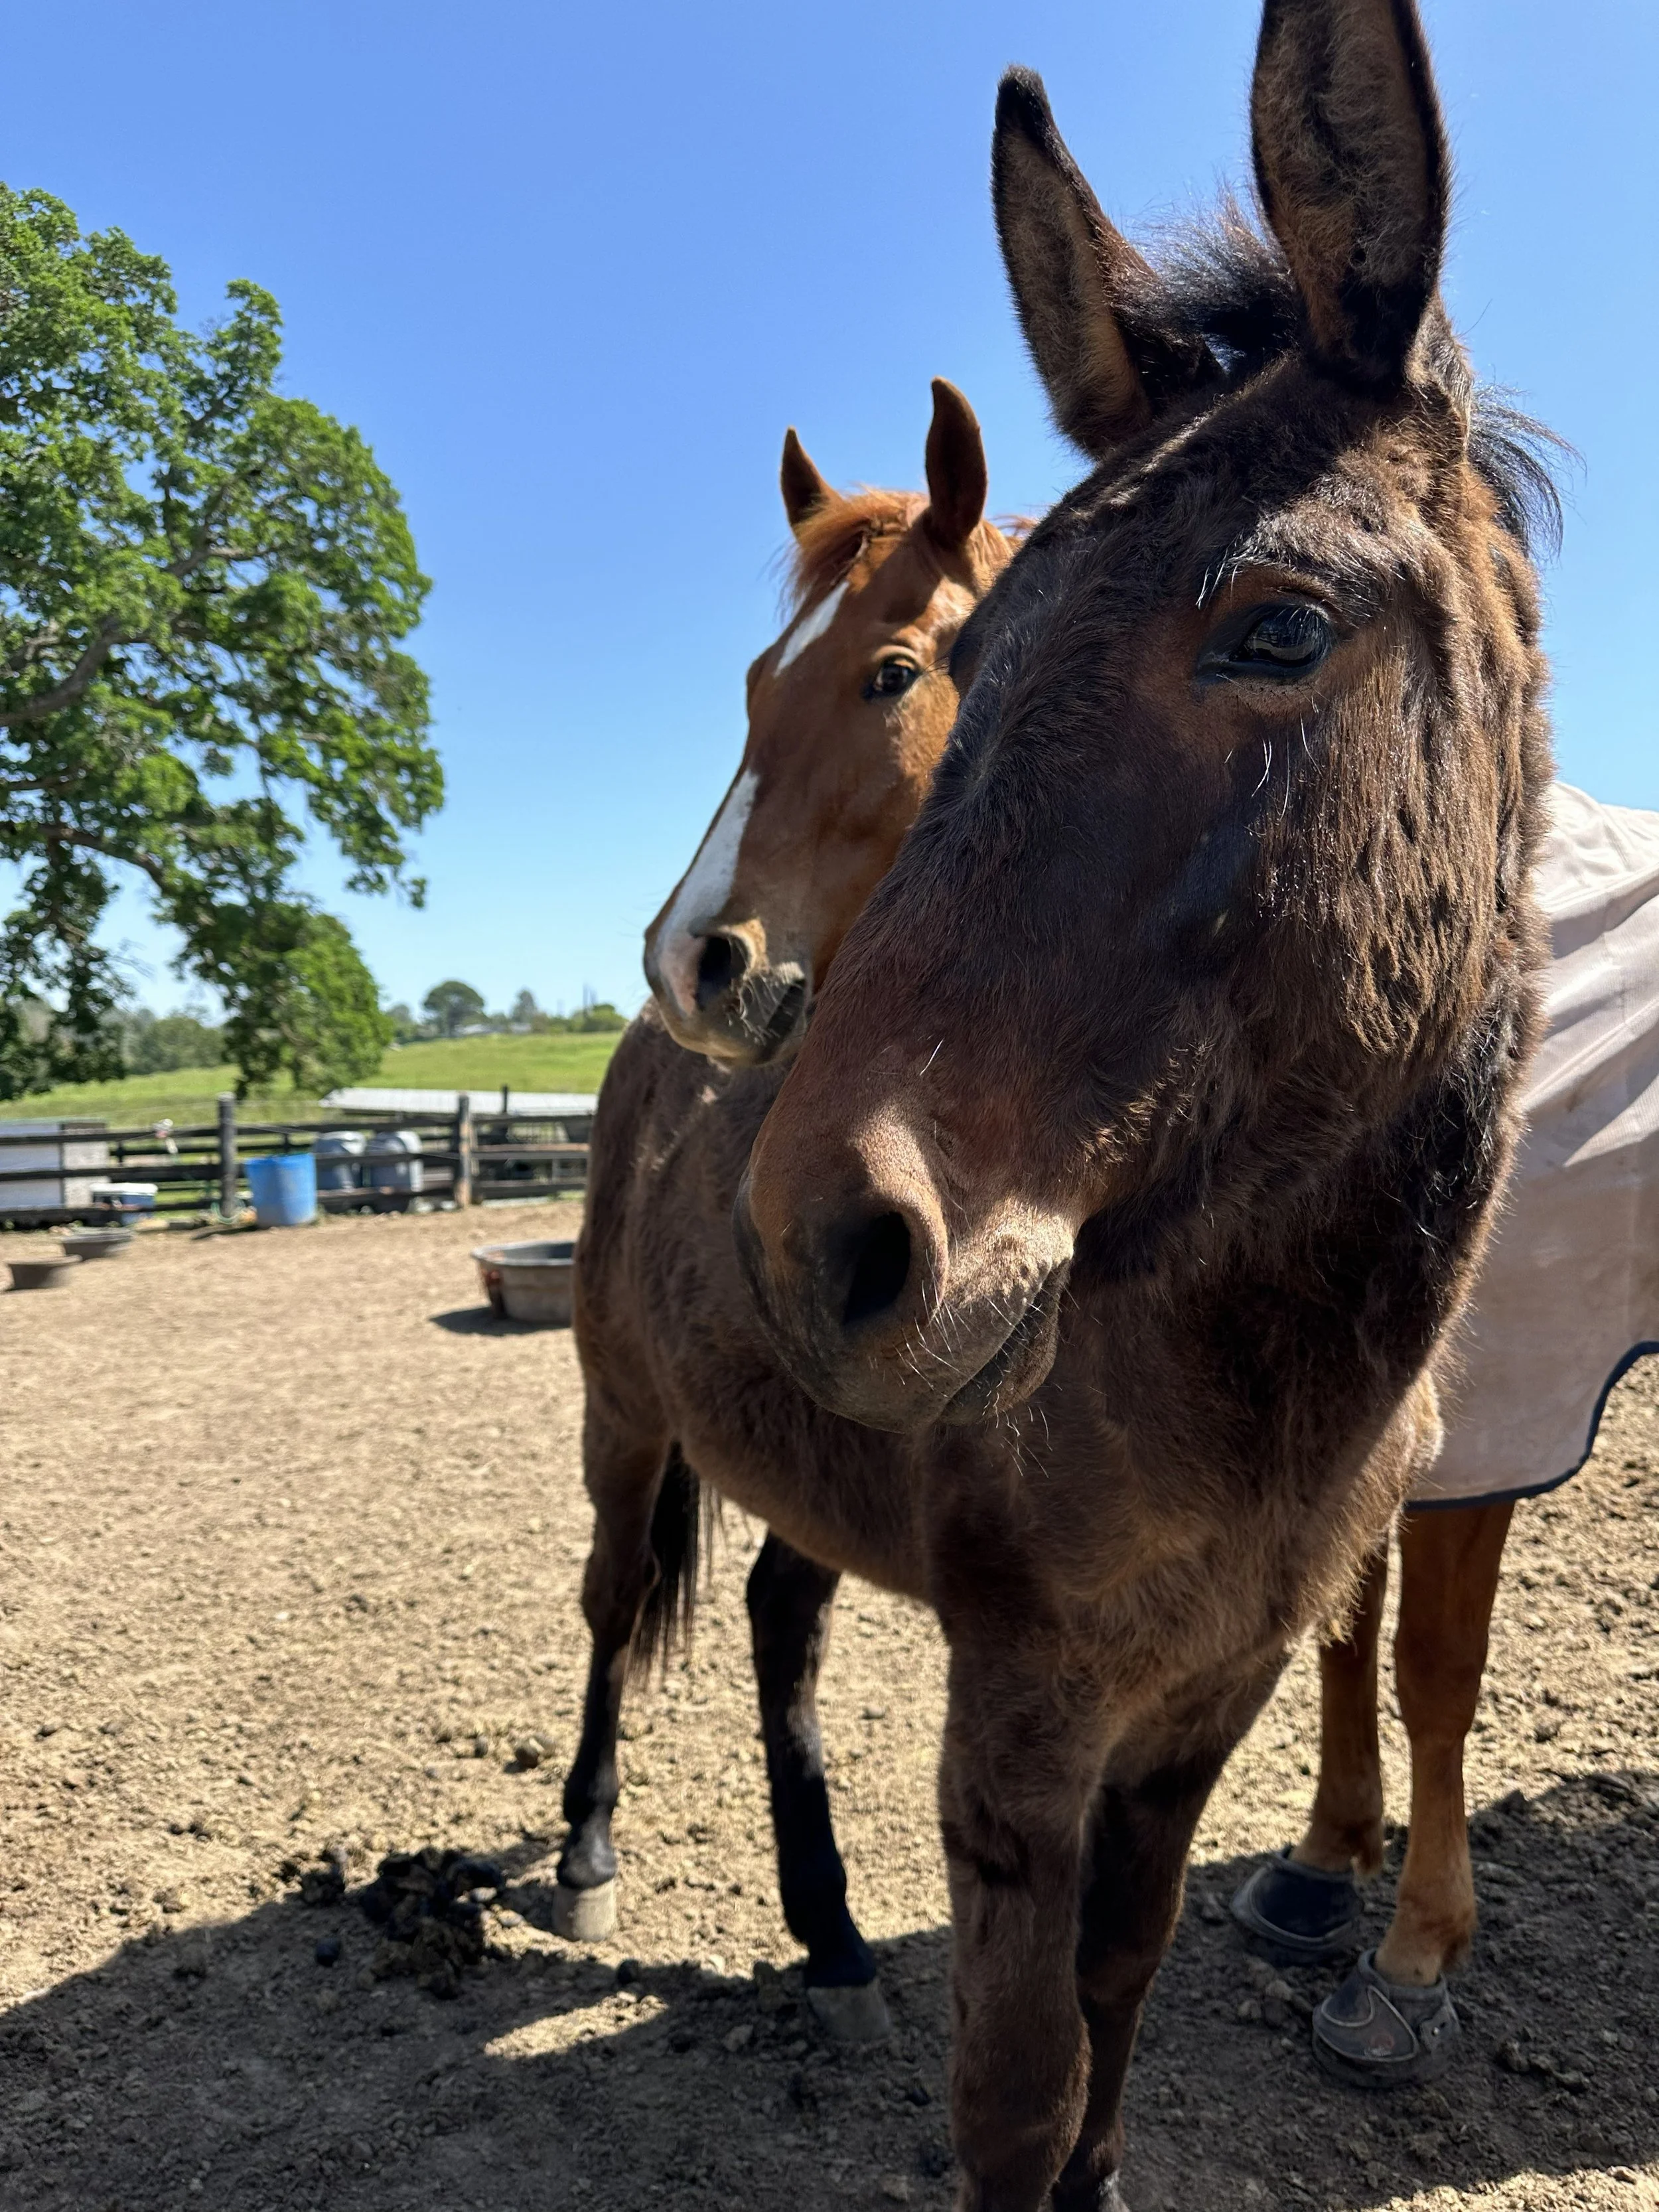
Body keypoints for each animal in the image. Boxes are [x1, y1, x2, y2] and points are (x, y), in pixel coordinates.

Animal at [558, 379, 1018, 2050]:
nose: (692, 958)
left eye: (889, 671)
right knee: (615, 1598)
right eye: (757, 679)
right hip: (624, 1414)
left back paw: (822, 1917)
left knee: (773, 1615)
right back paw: (586, 1844)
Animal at [733, 4, 1553, 2204]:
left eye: (1274, 627)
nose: (816, 1239)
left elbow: (1127, 1974)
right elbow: (1013, 2087)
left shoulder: (1208, 1696)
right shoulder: (1020, 1717)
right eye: (976, 656)